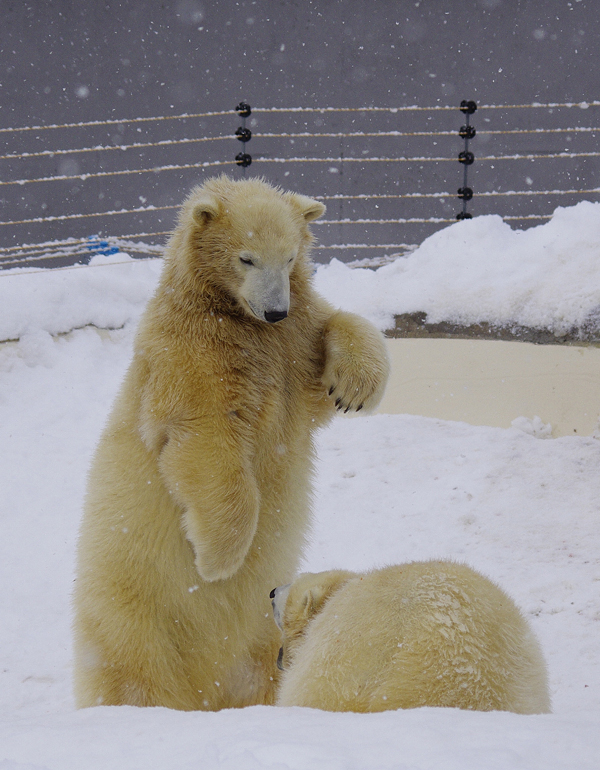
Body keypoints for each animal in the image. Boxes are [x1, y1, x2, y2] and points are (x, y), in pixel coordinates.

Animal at [72, 174, 390, 708]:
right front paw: (215, 561)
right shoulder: (189, 355)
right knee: (135, 665)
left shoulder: (290, 344)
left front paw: (354, 388)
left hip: (259, 639)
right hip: (133, 610)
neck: (233, 318)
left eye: (289, 256)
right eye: (246, 258)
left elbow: (327, 339)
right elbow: (205, 441)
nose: (275, 309)